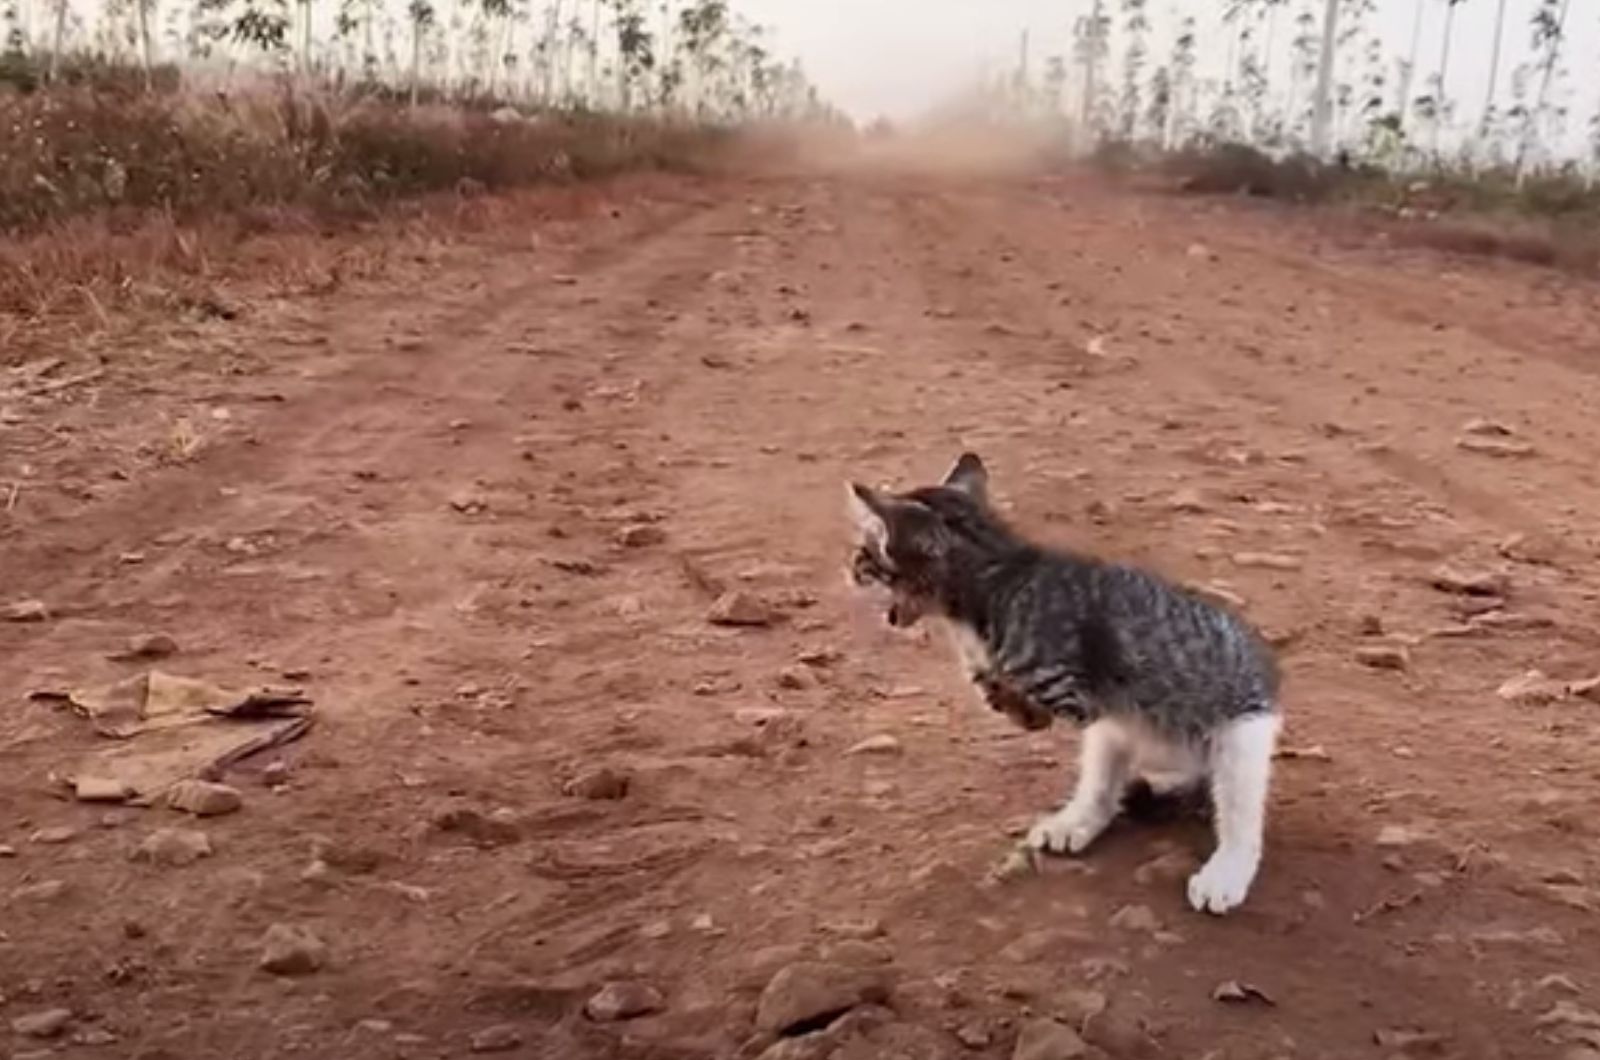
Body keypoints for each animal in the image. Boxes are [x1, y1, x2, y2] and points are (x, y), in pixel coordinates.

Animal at [844, 451, 1280, 915]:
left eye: (868, 553)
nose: (851, 569)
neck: (999, 576)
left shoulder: (1073, 694)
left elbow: (1024, 690)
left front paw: (1002, 689)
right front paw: (987, 680)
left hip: (1240, 740)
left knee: (1239, 817)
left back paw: (1225, 873)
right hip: (1113, 735)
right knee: (1102, 789)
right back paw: (1076, 822)